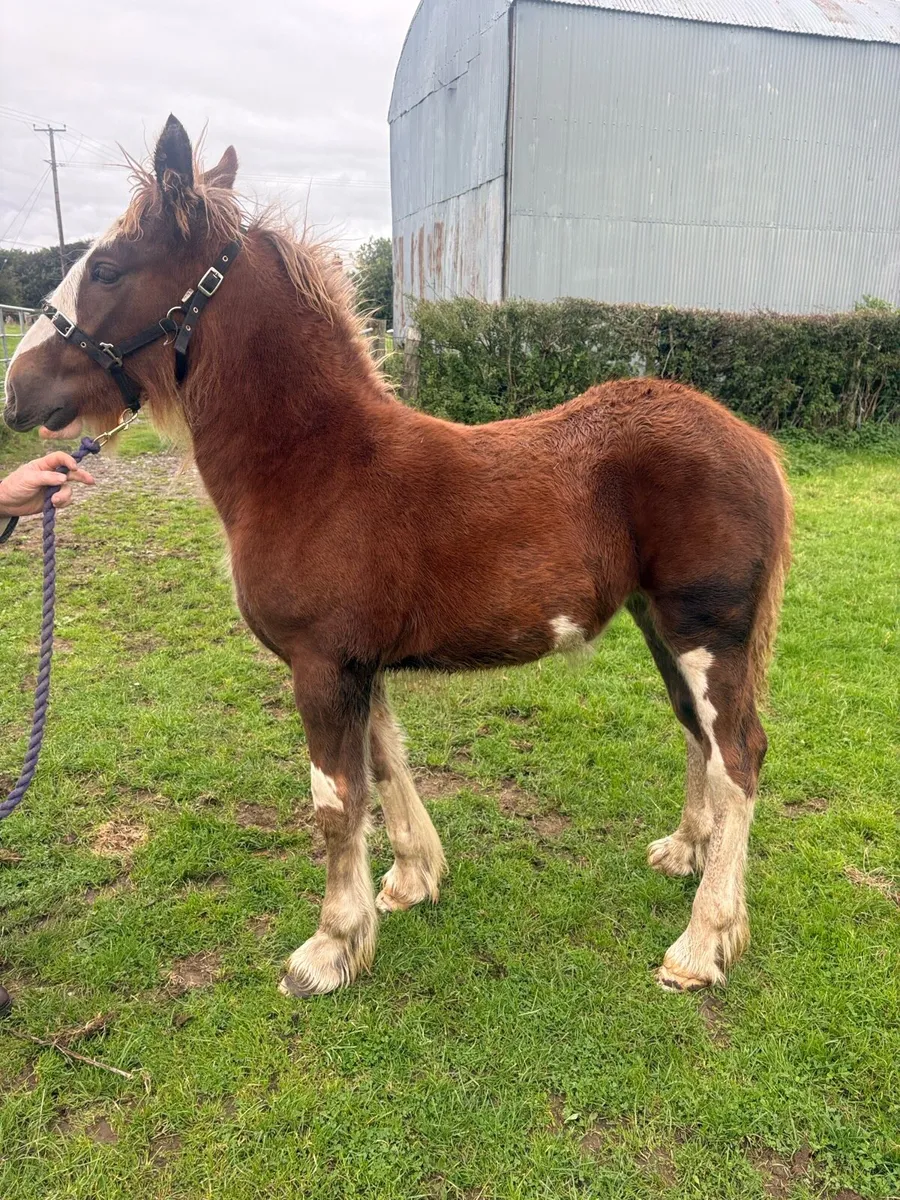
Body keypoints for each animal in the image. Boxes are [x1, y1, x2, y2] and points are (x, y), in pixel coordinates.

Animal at [4, 116, 792, 998]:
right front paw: (413, 879)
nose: (17, 392)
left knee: (739, 757)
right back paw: (685, 852)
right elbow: (385, 764)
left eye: (107, 268)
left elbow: (334, 799)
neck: (316, 463)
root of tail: (753, 442)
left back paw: (701, 941)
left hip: (705, 630)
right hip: (660, 623)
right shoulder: (357, 663)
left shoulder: (320, 664)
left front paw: (329, 947)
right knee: (698, 733)